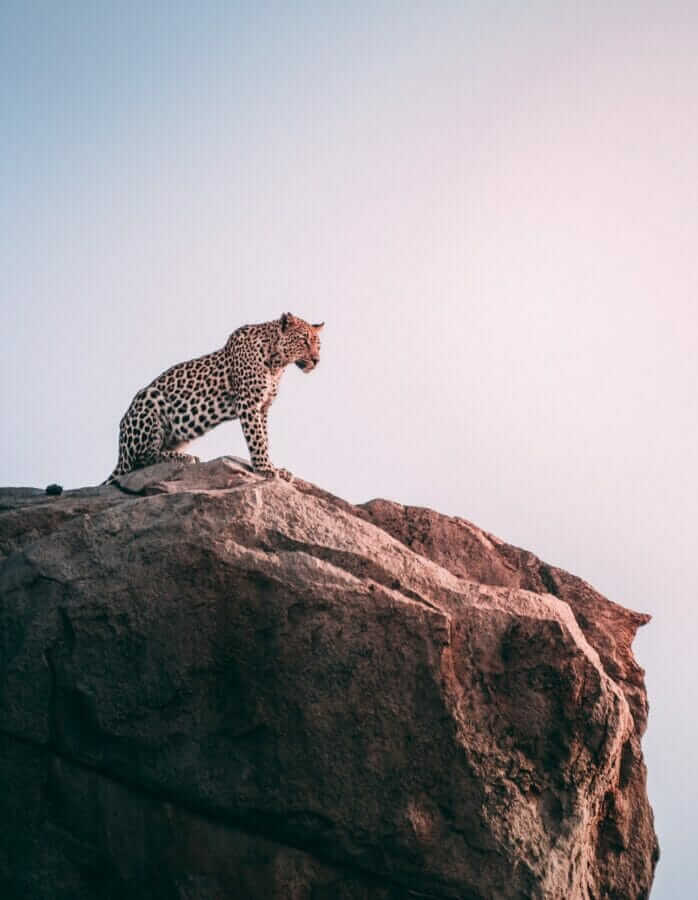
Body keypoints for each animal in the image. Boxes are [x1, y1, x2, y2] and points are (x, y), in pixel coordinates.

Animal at [103, 312, 323, 485]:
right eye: (304, 341)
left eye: (318, 345)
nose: (316, 360)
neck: (277, 364)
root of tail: (120, 452)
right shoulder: (248, 402)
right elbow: (257, 438)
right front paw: (265, 469)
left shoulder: (263, 407)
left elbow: (265, 438)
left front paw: (275, 468)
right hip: (149, 399)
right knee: (141, 459)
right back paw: (183, 457)